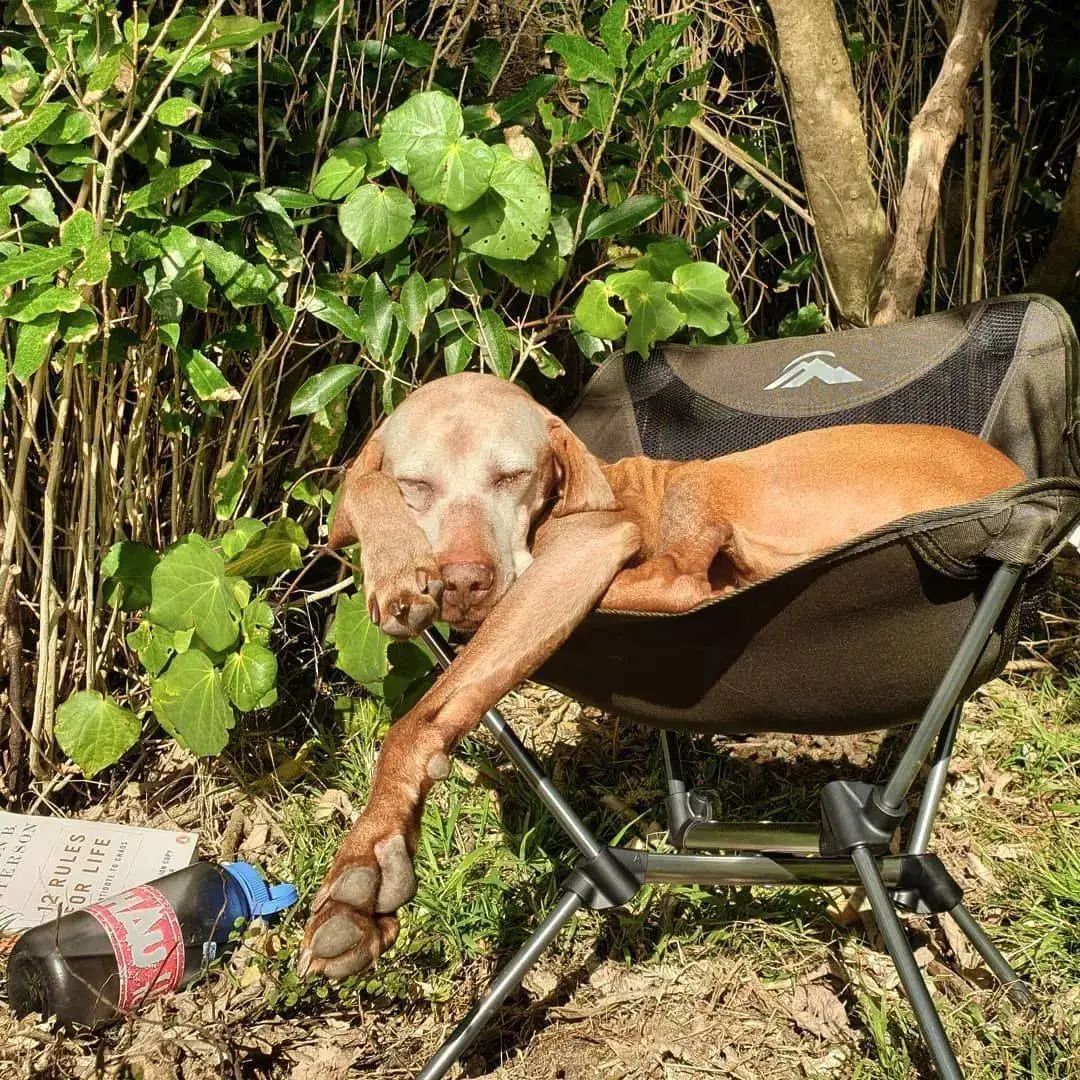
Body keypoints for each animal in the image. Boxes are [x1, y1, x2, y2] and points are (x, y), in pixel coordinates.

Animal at [295, 371, 1019, 980]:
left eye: (513, 475)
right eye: (416, 486)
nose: (463, 582)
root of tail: (1010, 478)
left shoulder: (580, 547)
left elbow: (424, 713)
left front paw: (363, 867)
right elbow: (359, 486)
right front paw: (395, 565)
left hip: (728, 478)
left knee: (684, 582)